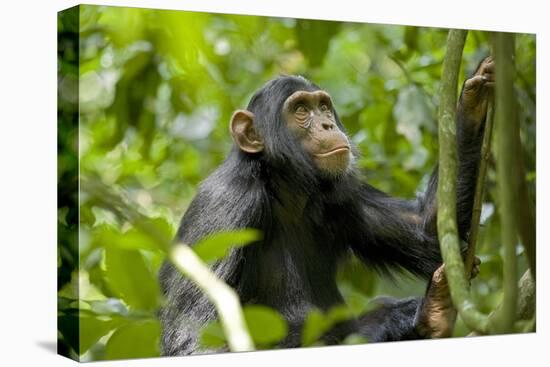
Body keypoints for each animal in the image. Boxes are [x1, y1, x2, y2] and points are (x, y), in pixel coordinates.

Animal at [158, 56, 496, 356]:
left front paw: (474, 95)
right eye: (300, 110)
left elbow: (425, 228)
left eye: (322, 106)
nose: (326, 123)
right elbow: (196, 340)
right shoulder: (225, 206)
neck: (283, 187)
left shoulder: (342, 194)